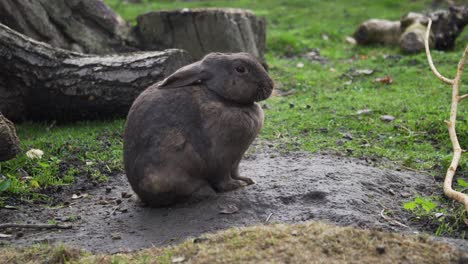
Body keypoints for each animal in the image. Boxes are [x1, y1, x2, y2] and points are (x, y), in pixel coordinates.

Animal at [123, 52, 274, 207]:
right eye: (240, 69)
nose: (271, 85)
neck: (222, 97)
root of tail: (143, 196)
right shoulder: (222, 158)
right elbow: (223, 178)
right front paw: (236, 185)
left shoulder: (235, 160)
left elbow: (236, 172)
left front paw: (246, 180)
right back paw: (205, 191)